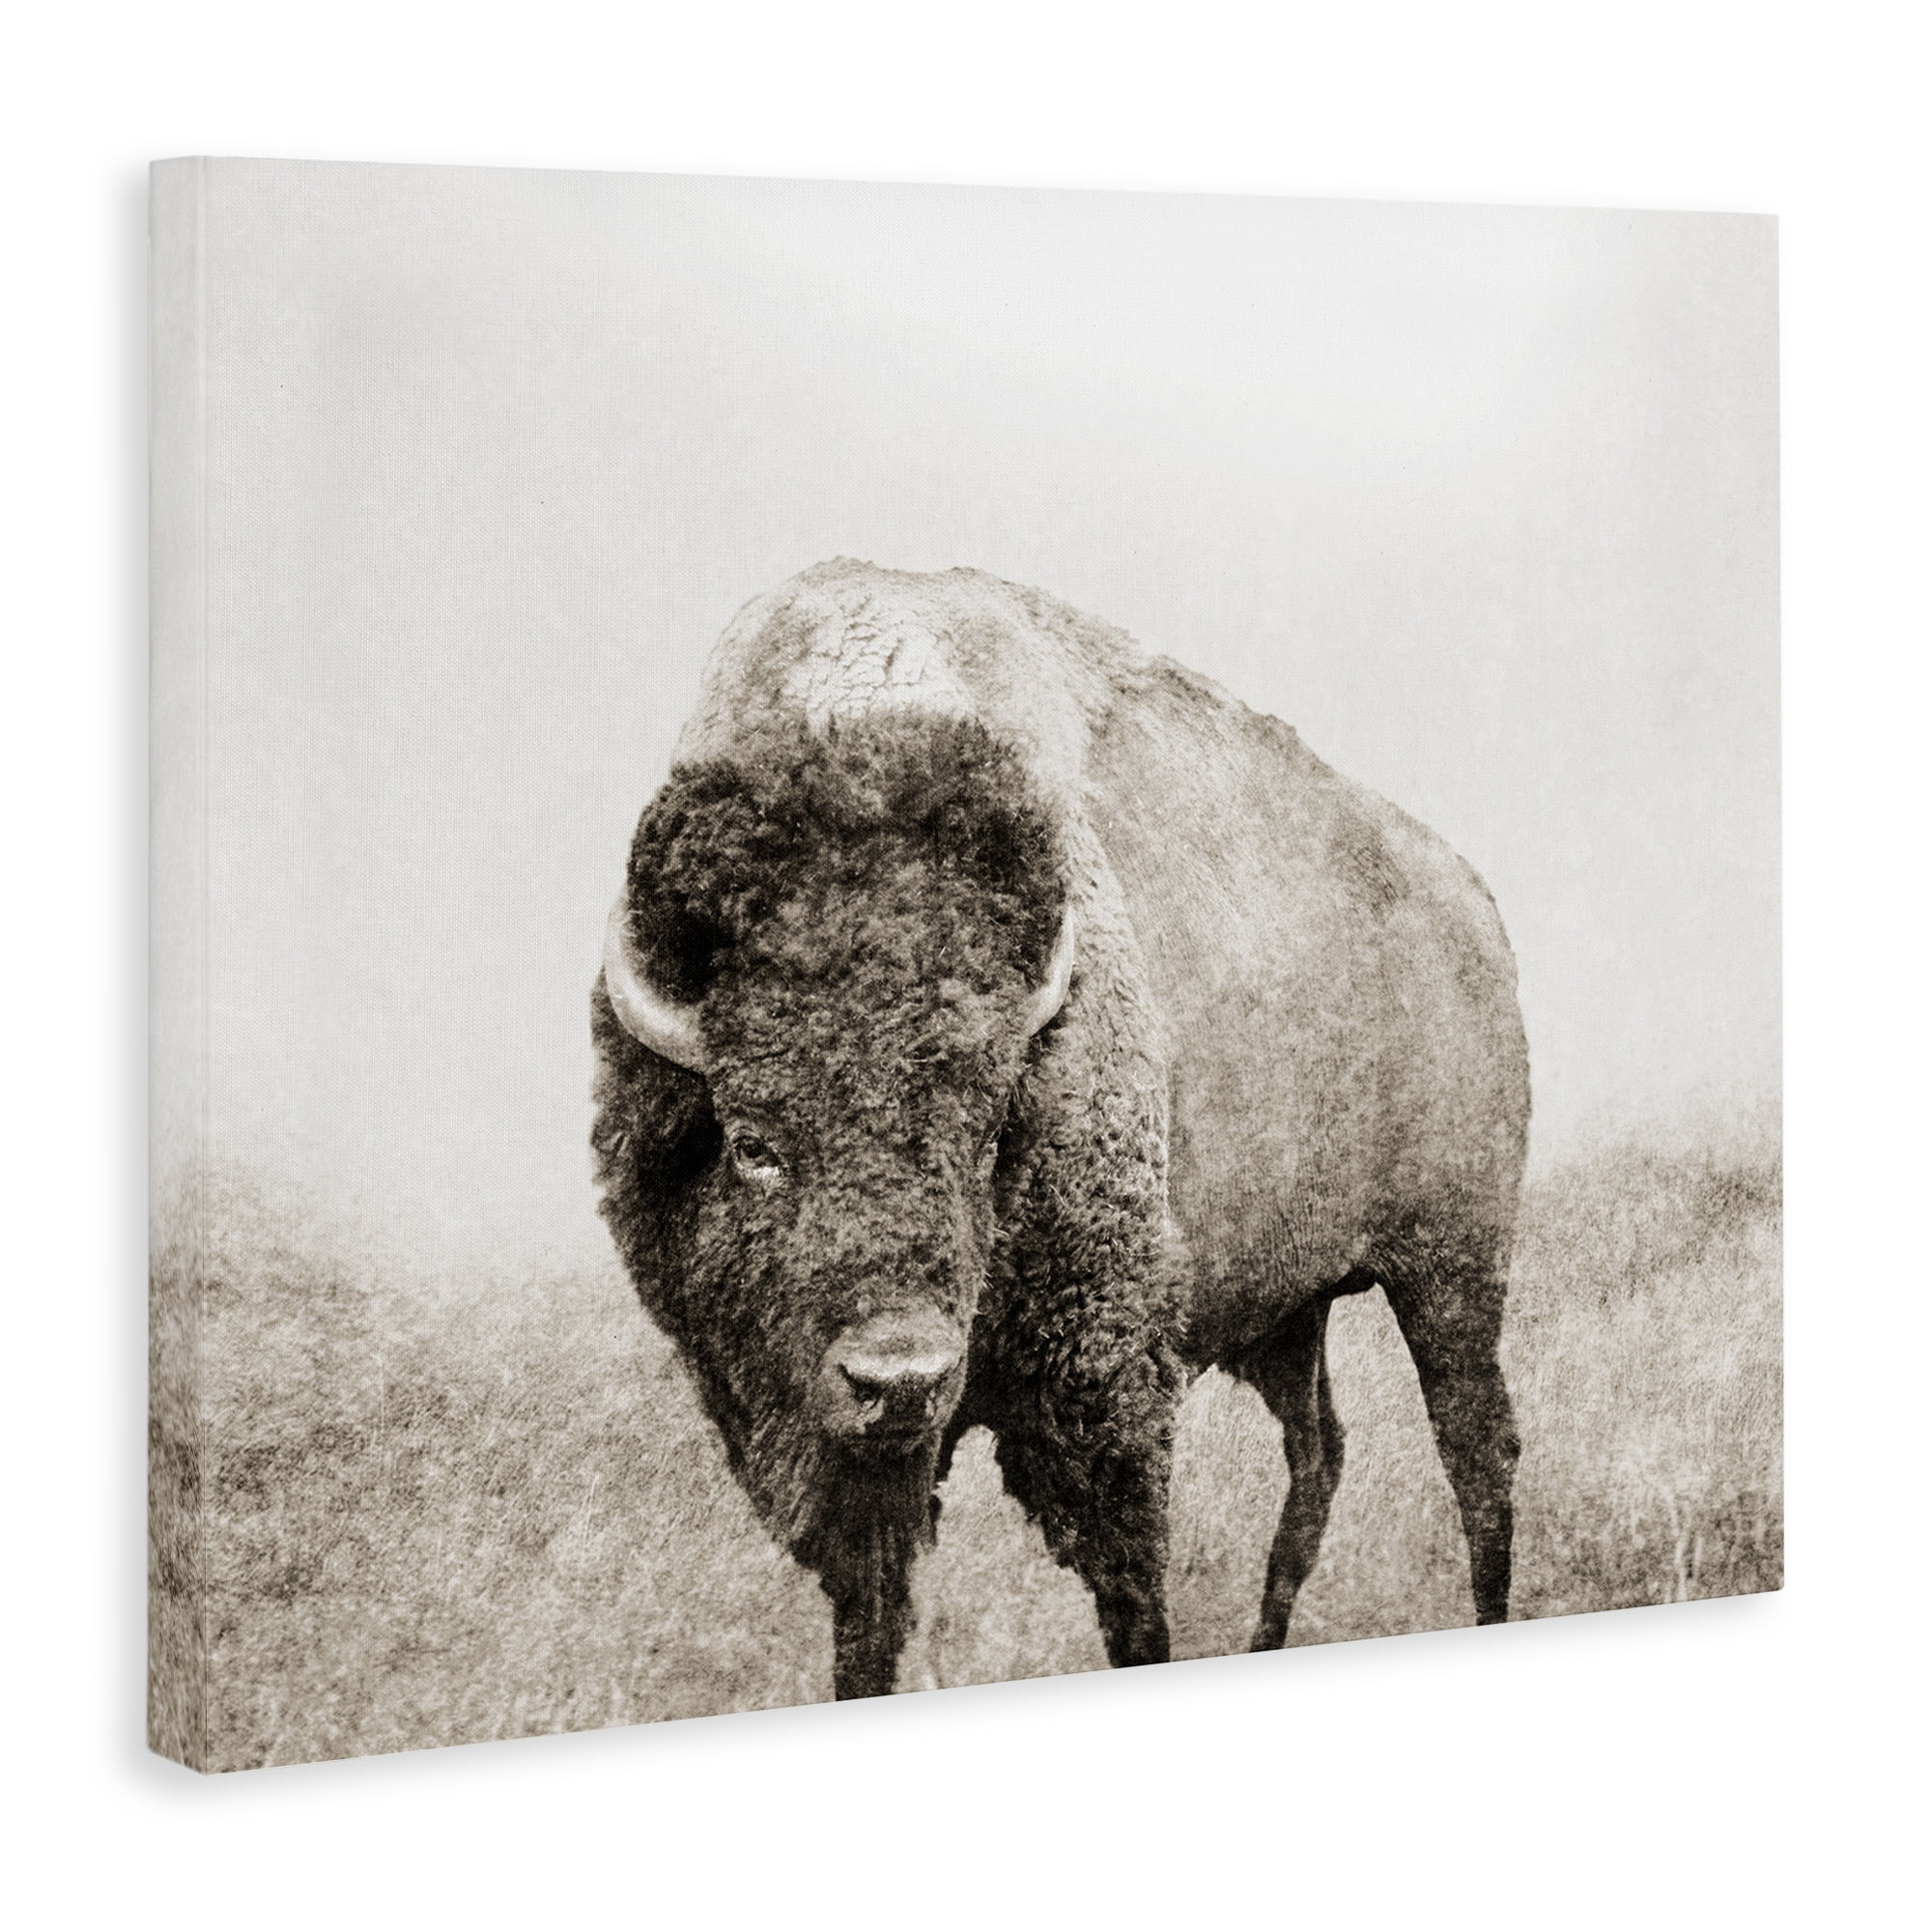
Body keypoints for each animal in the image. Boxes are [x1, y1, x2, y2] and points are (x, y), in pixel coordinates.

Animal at [592, 559, 1529, 1699]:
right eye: (753, 1144)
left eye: (992, 1129)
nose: (899, 1379)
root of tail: (1471, 901)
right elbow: (869, 1621)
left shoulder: (1103, 1394)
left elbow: (1131, 1597)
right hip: (1289, 1310)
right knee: (1319, 1455)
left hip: (1450, 1267)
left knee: (1475, 1452)